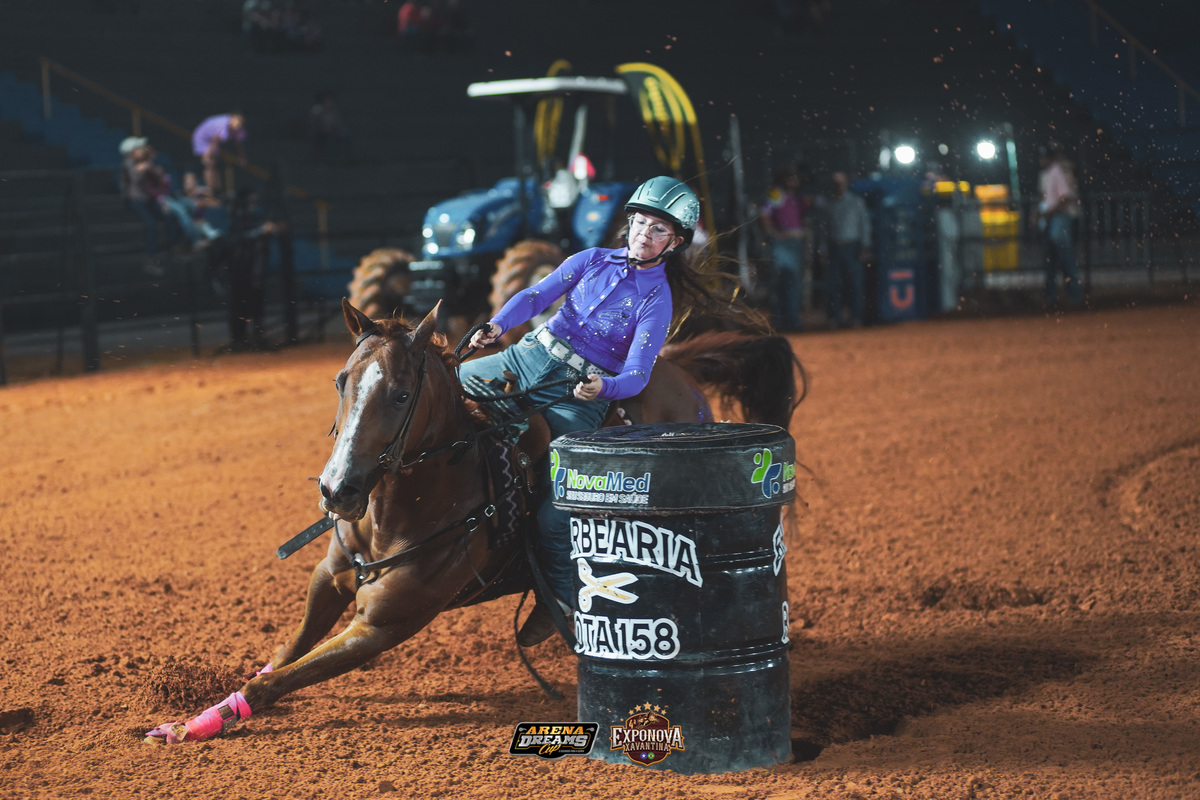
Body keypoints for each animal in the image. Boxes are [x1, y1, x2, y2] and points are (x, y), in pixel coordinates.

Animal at [144, 298, 803, 744]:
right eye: (340, 380)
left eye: (402, 394)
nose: (338, 489)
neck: (397, 512)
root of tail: (671, 368)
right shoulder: (328, 581)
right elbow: (283, 656)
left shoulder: (383, 625)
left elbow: (277, 679)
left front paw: (194, 727)